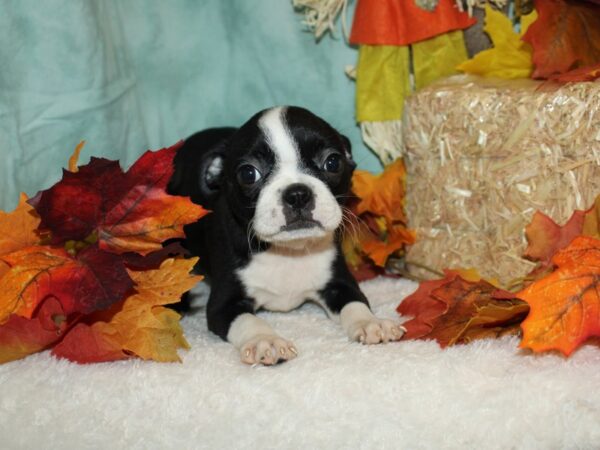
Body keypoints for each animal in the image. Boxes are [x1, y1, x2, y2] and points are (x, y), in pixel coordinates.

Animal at [166, 106, 406, 366]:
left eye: (332, 162)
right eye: (248, 173)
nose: (298, 194)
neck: (288, 251)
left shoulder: (339, 282)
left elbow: (355, 303)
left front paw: (371, 322)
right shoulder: (224, 304)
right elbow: (249, 320)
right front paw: (265, 340)